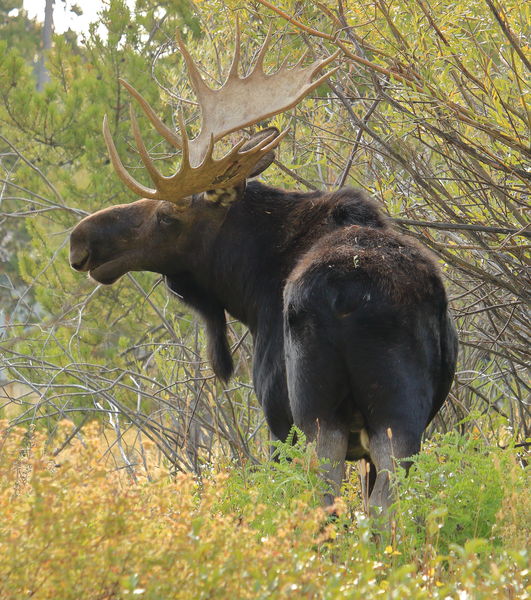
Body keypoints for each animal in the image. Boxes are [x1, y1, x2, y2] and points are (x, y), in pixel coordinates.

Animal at [69, 24, 462, 510]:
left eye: (166, 216)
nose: (81, 240)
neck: (249, 290)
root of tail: (346, 295)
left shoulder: (275, 412)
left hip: (318, 417)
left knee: (334, 500)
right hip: (393, 418)